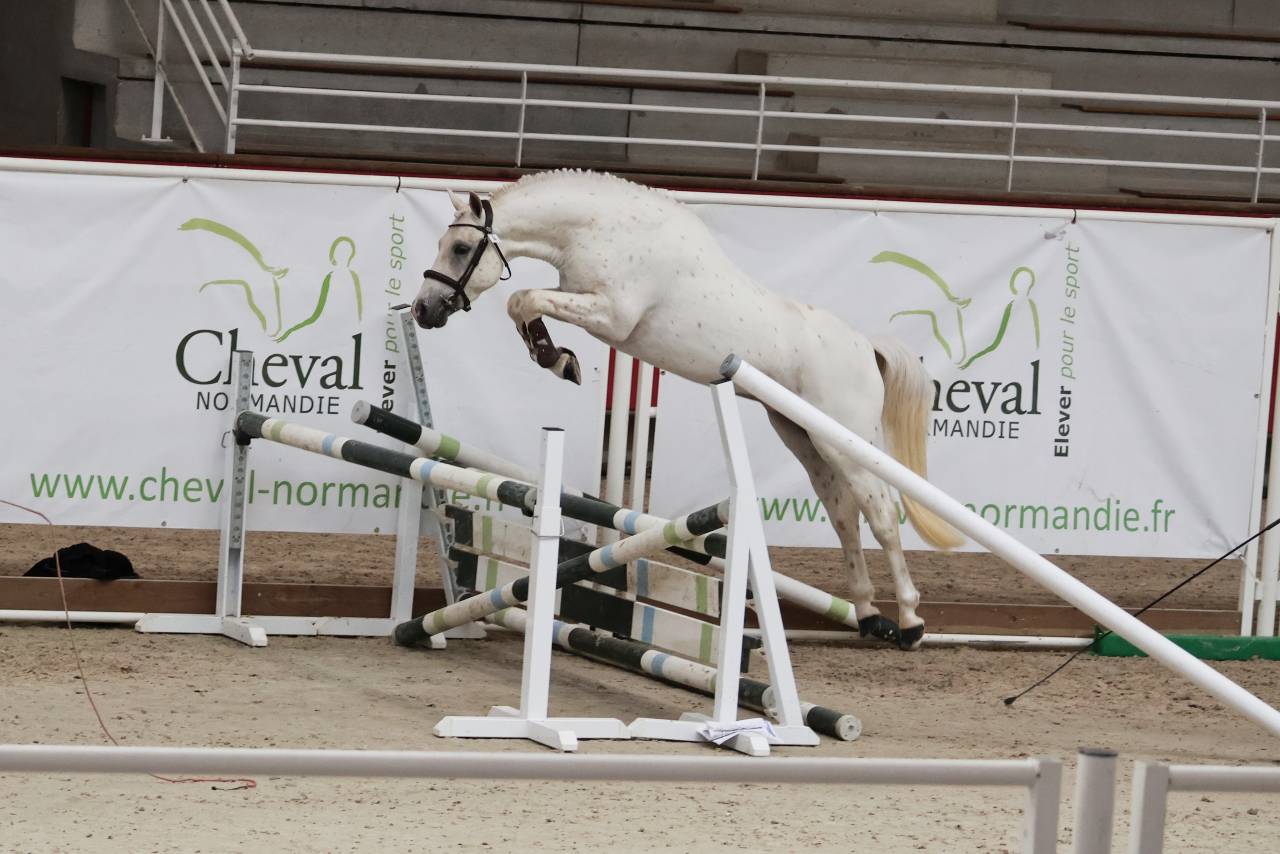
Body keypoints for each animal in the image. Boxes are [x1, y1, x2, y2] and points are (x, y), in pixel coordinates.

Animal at [412, 170, 963, 649]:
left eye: (460, 248)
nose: (423, 310)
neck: (599, 228)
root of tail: (866, 347)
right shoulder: (579, 298)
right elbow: (524, 304)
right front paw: (557, 358)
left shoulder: (610, 316)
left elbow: (523, 298)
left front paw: (558, 359)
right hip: (802, 437)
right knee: (845, 515)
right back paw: (869, 615)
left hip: (843, 441)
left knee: (882, 515)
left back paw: (909, 622)